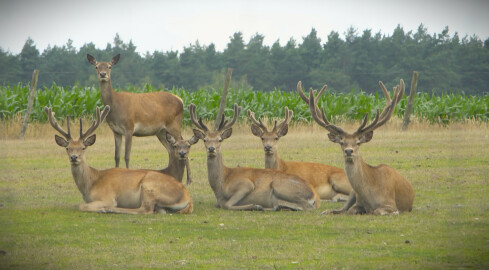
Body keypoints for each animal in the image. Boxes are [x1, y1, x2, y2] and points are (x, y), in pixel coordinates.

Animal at [44, 106, 193, 214]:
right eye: (67, 148)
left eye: (83, 147)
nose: (74, 157)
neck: (90, 184)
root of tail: (187, 196)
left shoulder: (107, 196)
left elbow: (81, 206)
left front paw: (102, 208)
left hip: (150, 186)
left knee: (146, 210)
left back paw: (110, 209)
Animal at [86, 54, 190, 186]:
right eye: (96, 66)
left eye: (109, 66)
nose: (103, 74)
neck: (116, 106)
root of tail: (181, 100)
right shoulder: (116, 131)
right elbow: (116, 156)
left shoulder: (129, 127)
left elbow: (127, 155)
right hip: (161, 131)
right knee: (171, 150)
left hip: (174, 124)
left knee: (183, 142)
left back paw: (189, 180)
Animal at [189, 103, 318, 211]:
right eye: (205, 140)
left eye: (219, 139)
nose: (211, 149)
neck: (221, 184)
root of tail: (312, 194)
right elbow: (219, 204)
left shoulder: (245, 184)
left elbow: (227, 204)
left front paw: (255, 205)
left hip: (279, 185)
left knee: (306, 206)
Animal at [304, 78, 414, 215]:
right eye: (342, 142)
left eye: (358, 142)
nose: (349, 151)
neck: (371, 193)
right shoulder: (358, 202)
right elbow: (351, 210)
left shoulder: (390, 203)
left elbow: (378, 211)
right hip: (352, 192)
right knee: (340, 209)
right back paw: (327, 211)